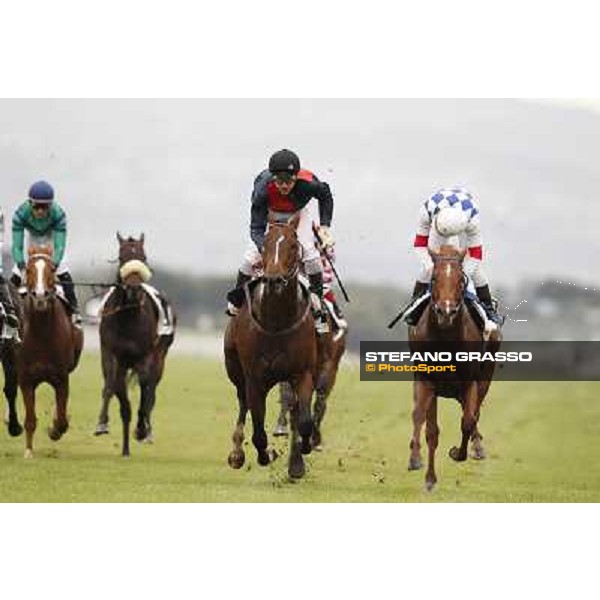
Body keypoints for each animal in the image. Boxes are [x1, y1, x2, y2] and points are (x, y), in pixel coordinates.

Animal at [18, 246, 83, 458]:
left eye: (52, 270)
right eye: (28, 269)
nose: (40, 296)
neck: (42, 335)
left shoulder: (61, 378)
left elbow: (62, 419)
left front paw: (54, 429)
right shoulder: (26, 379)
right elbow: (30, 419)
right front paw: (28, 451)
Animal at [94, 233, 173, 454]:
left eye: (143, 257)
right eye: (122, 257)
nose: (133, 288)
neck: (128, 316)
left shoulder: (145, 357)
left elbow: (145, 390)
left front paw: (141, 429)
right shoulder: (111, 353)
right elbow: (111, 386)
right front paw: (102, 423)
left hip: (160, 358)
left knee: (151, 391)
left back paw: (146, 430)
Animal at [225, 213, 318, 480]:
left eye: (294, 245)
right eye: (264, 245)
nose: (274, 279)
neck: (277, 321)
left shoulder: (302, 373)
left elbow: (304, 420)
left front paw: (303, 451)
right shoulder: (255, 379)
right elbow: (258, 432)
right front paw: (266, 455)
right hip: (236, 372)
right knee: (242, 404)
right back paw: (237, 453)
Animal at [408, 246, 502, 490]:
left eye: (462, 280)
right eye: (433, 278)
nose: (446, 311)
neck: (446, 339)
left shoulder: (470, 382)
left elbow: (468, 421)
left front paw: (457, 453)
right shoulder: (427, 380)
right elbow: (428, 427)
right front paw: (426, 474)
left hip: (484, 378)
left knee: (474, 413)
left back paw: (477, 447)